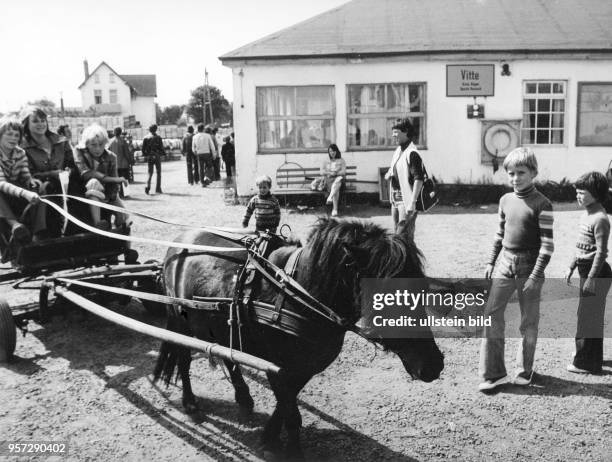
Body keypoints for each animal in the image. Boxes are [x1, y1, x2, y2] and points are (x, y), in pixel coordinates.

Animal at [155, 217, 442, 458]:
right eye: (385, 295)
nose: (433, 365)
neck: (300, 296)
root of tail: (178, 242)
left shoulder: (304, 367)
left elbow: (286, 405)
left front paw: (270, 437)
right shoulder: (276, 367)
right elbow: (291, 412)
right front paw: (290, 449)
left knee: (228, 356)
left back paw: (244, 398)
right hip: (180, 321)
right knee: (183, 357)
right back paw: (190, 403)